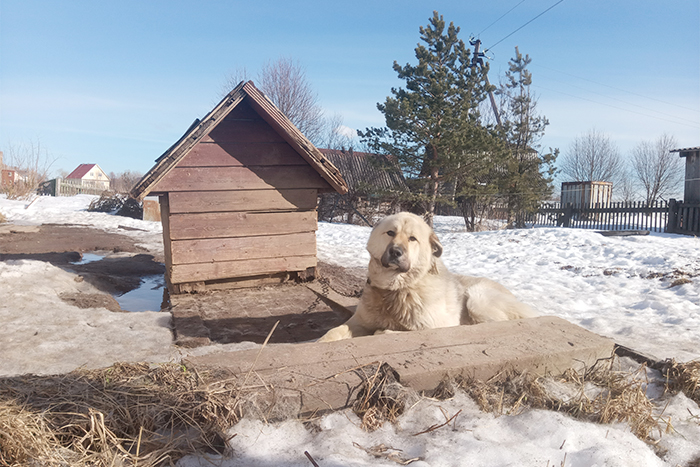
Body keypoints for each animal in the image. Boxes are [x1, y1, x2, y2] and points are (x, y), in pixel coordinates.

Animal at [320, 213, 540, 344]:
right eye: (390, 233)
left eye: (412, 239)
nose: (395, 252)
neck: (398, 289)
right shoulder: (359, 322)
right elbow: (335, 331)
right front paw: (321, 342)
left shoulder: (435, 326)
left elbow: (389, 332)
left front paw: (384, 332)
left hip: (477, 299)